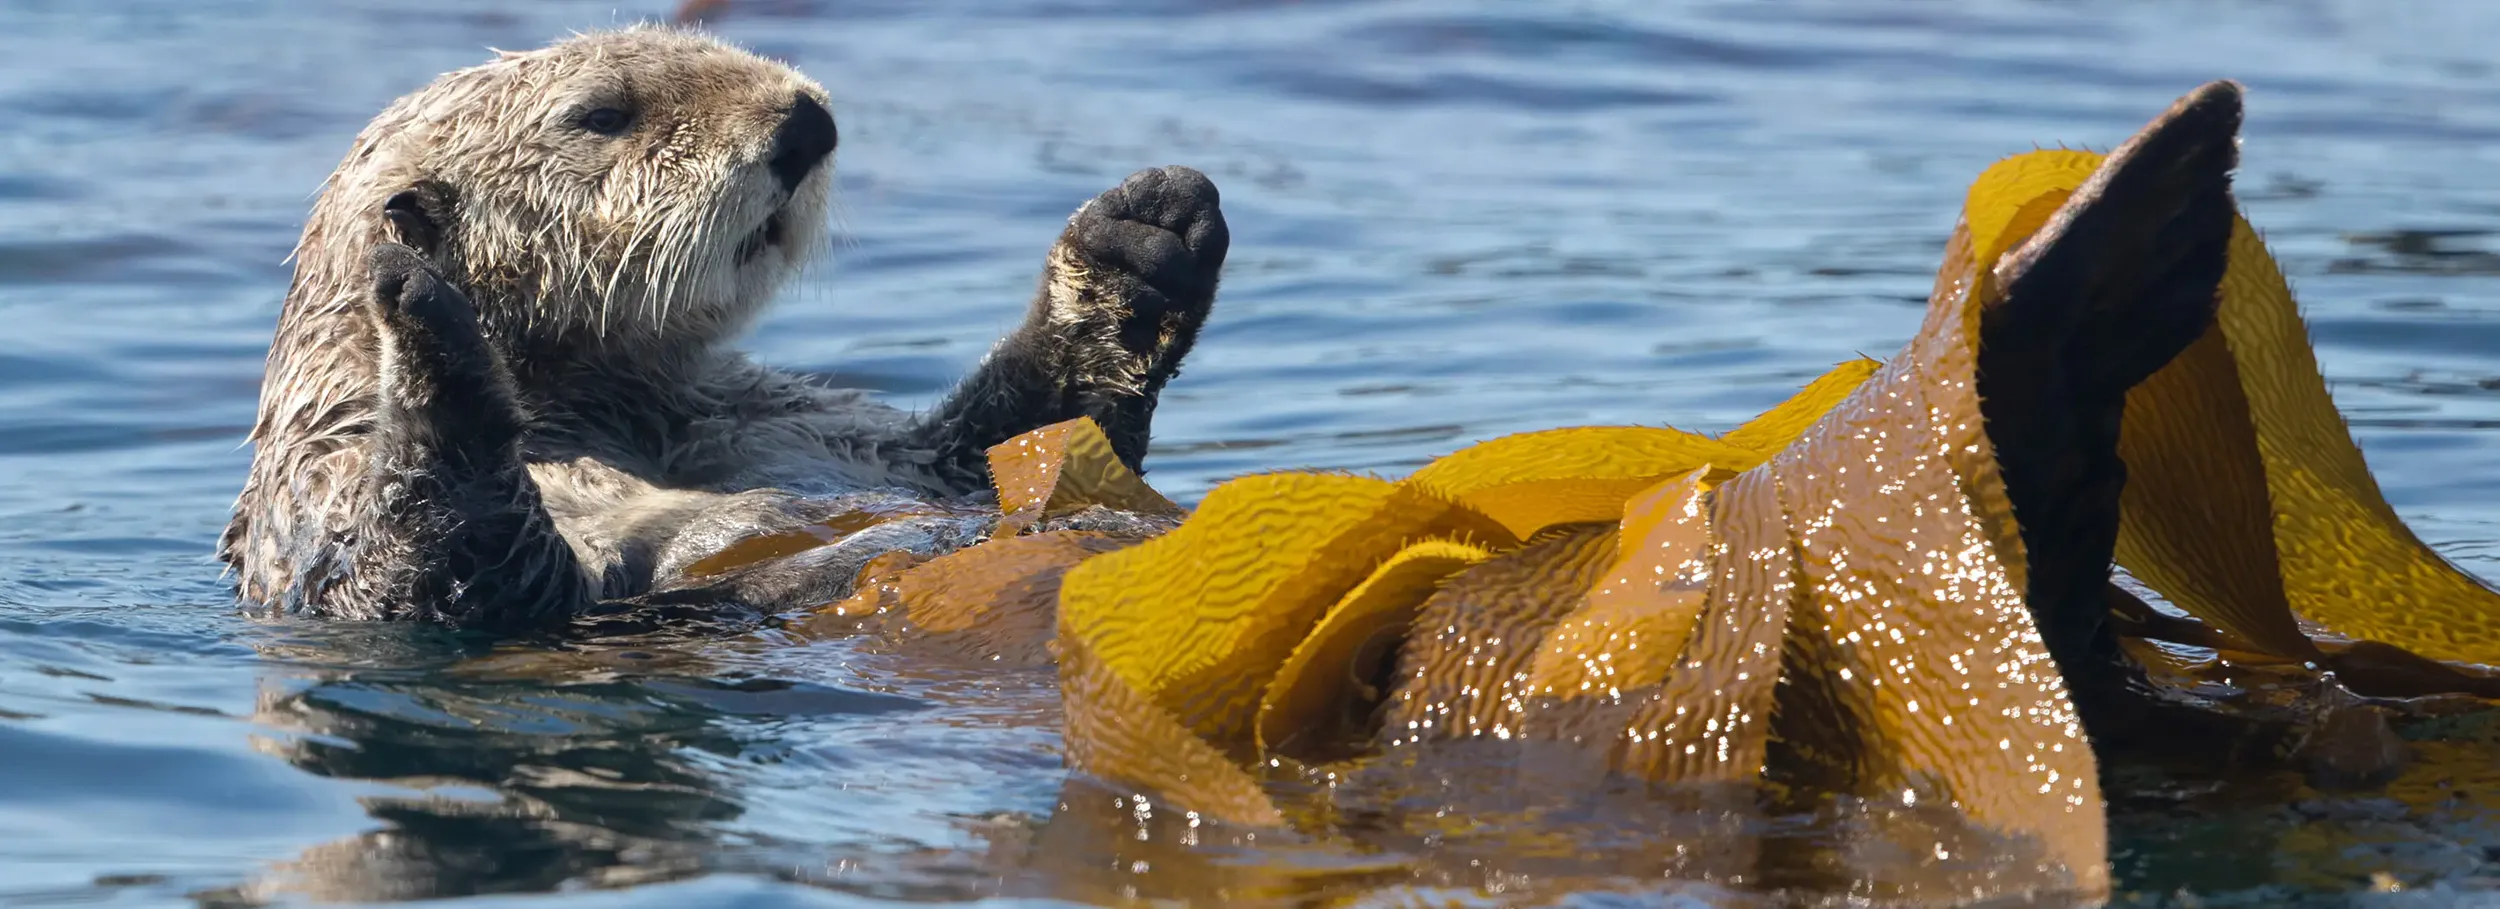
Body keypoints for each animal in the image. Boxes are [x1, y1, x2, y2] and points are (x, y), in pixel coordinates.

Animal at [218, 25, 1228, 632]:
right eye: (602, 113)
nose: (807, 123)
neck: (609, 401)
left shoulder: (795, 419)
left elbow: (1002, 448)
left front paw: (1141, 240)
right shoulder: (325, 481)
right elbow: (423, 579)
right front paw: (426, 318)